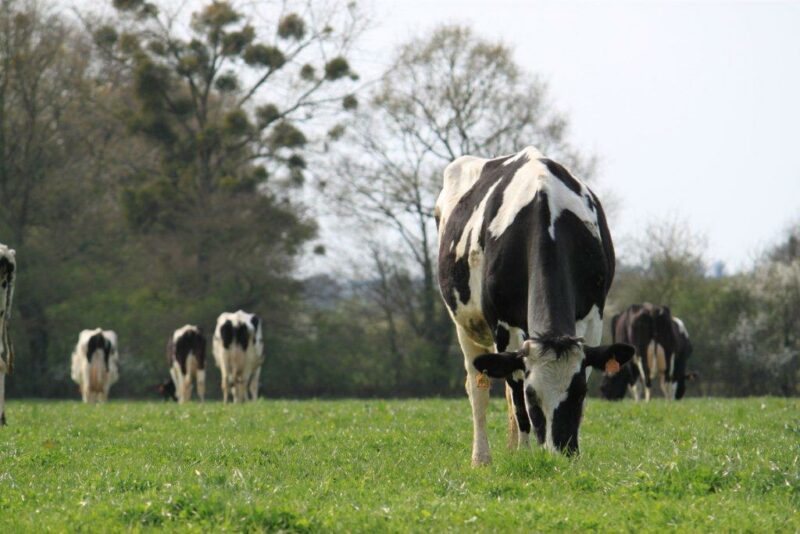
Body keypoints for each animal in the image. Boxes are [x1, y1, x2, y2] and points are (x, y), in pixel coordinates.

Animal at [435, 146, 634, 465]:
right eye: (532, 397)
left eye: (580, 392)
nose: (559, 454)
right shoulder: (503, 324)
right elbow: (515, 392)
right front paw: (526, 454)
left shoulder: (593, 319)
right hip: (466, 325)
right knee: (478, 387)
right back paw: (482, 458)